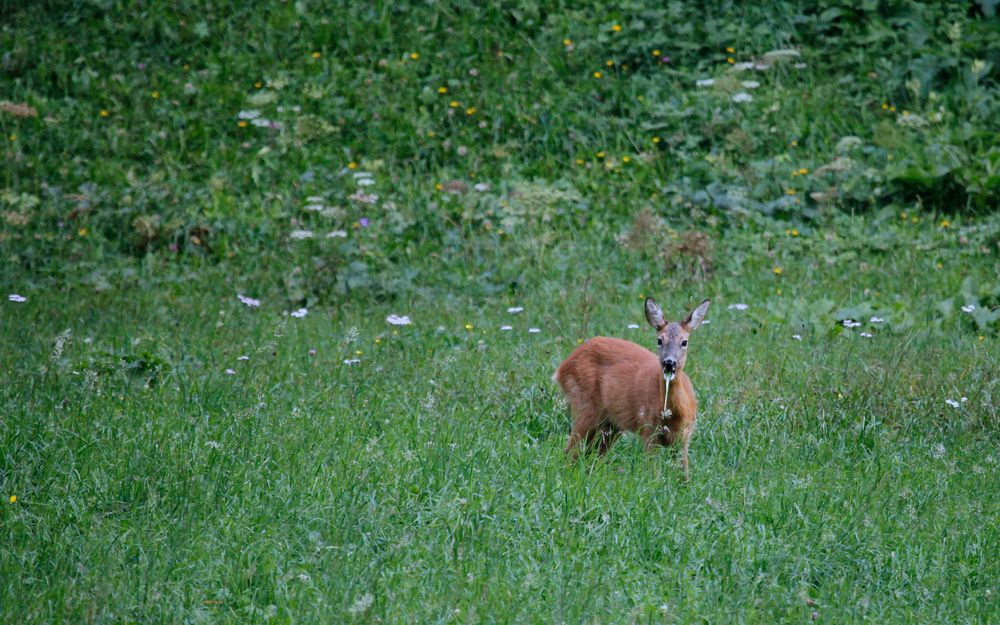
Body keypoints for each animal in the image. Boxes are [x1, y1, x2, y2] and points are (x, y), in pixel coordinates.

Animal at [556, 298, 712, 478]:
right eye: (659, 340)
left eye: (684, 342)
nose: (669, 363)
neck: (675, 415)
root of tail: (562, 367)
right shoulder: (649, 430)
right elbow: (654, 472)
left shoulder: (684, 437)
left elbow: (684, 474)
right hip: (585, 405)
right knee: (570, 450)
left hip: (611, 424)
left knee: (591, 454)